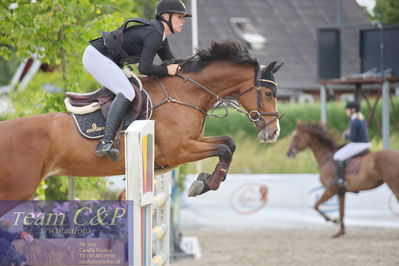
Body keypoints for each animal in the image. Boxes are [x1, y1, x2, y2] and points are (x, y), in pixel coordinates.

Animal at [0, 40, 282, 209]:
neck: (186, 93)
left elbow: (228, 144)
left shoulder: (193, 142)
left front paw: (204, 180)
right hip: (18, 188)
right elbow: (224, 148)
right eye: (269, 94)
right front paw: (204, 184)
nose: (274, 132)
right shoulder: (179, 150)